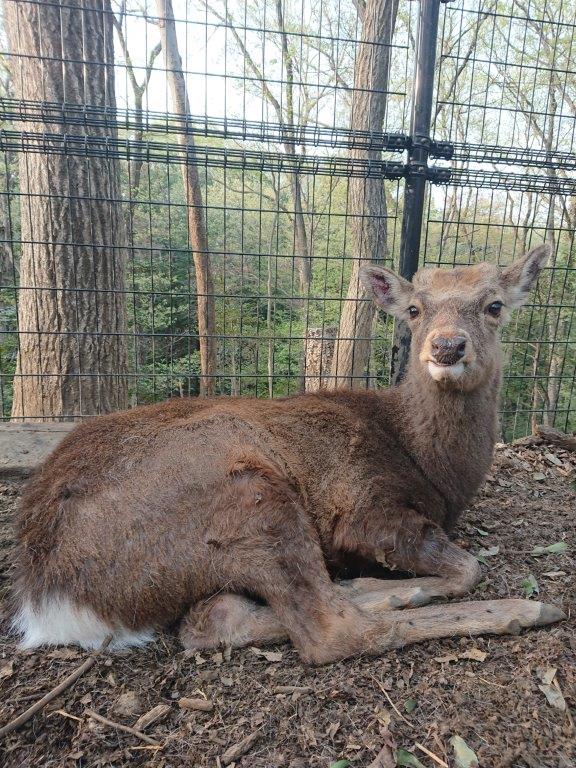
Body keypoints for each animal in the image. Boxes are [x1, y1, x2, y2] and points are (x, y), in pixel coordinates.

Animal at [11, 243, 564, 664]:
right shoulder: (364, 509)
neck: (436, 471)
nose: (447, 346)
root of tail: (48, 596)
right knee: (330, 633)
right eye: (414, 309)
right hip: (249, 493)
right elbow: (470, 568)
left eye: (495, 305)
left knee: (214, 617)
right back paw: (517, 609)